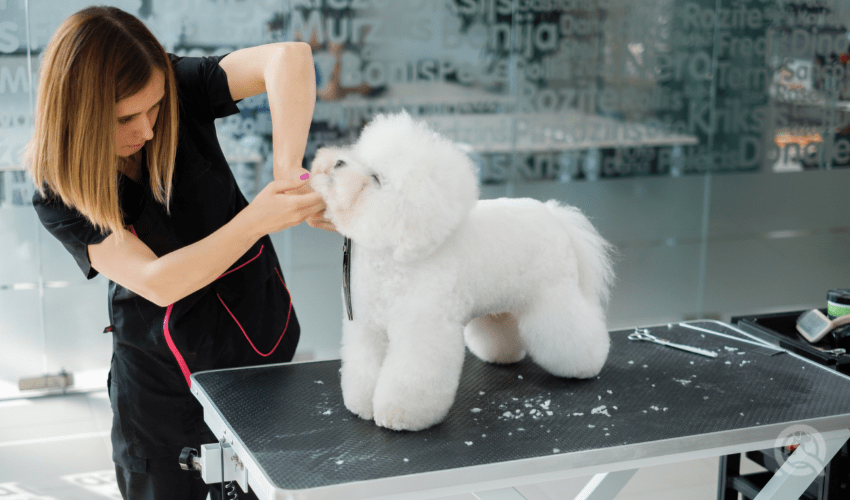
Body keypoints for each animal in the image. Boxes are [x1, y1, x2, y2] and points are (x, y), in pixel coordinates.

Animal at [308, 111, 612, 432]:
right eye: (361, 155)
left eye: (376, 178)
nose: (338, 162)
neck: (391, 257)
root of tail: (555, 215)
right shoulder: (367, 327)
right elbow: (364, 367)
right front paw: (362, 404)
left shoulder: (422, 329)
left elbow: (410, 375)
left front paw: (399, 414)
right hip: (502, 302)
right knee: (504, 326)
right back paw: (503, 355)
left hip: (552, 297)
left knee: (573, 329)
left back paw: (586, 364)